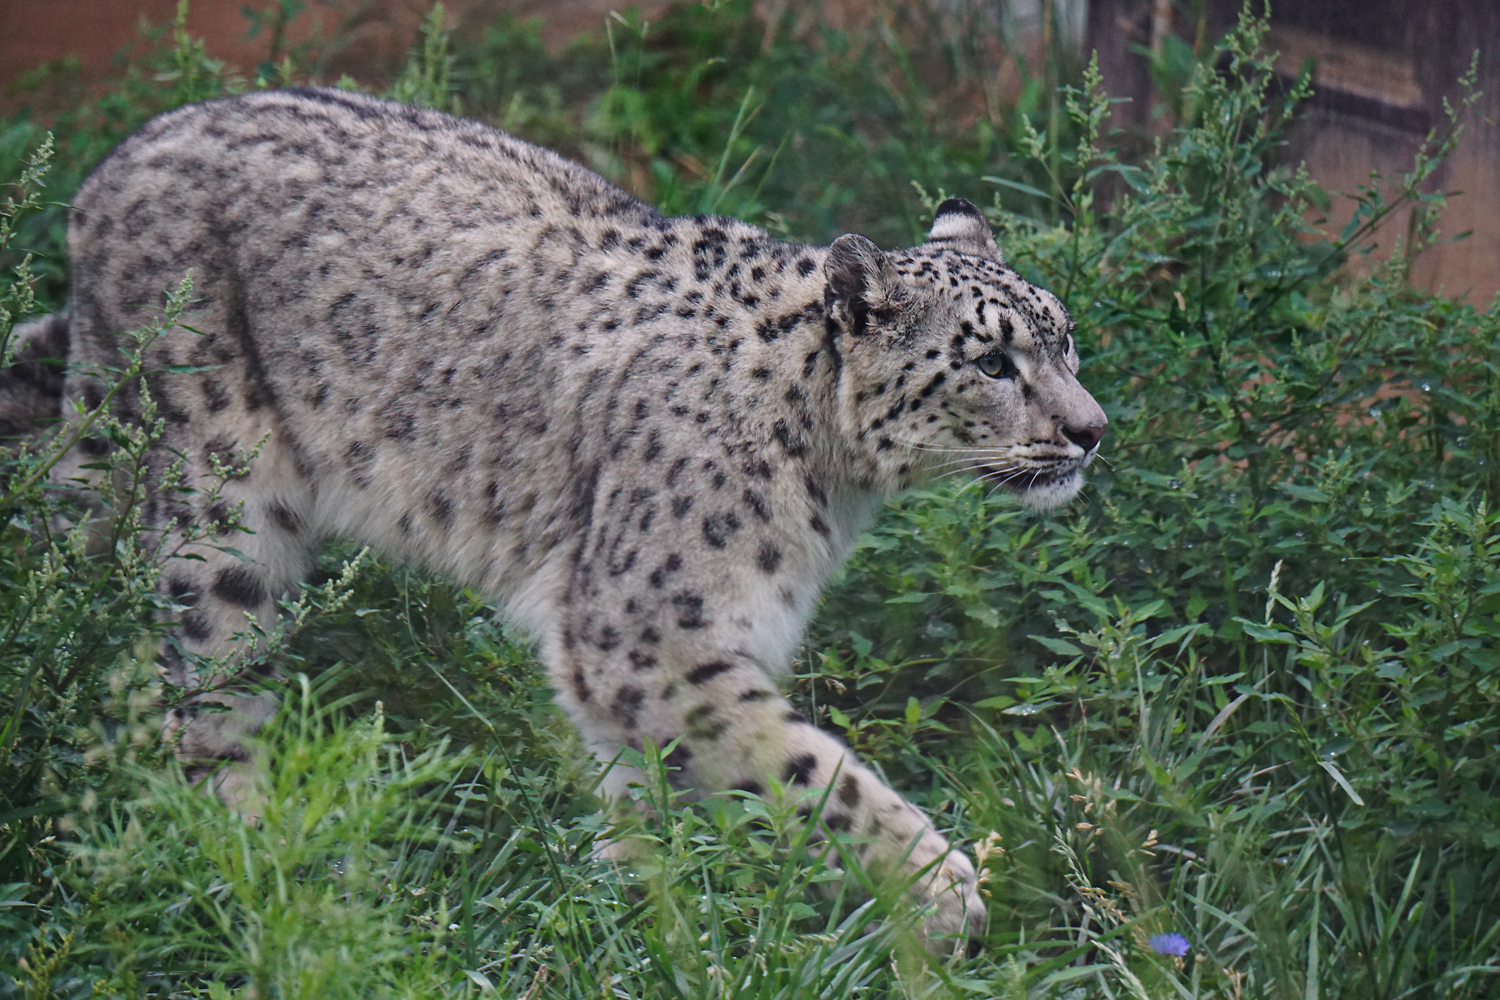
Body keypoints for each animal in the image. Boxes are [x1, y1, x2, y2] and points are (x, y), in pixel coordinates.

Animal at [4, 87, 1106, 954]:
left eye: (1063, 336)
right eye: (991, 360)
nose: (1093, 430)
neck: (835, 485)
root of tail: (111, 173)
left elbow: (656, 787)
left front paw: (644, 910)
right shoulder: (649, 634)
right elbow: (801, 766)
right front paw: (943, 890)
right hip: (219, 503)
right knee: (206, 693)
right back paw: (260, 853)